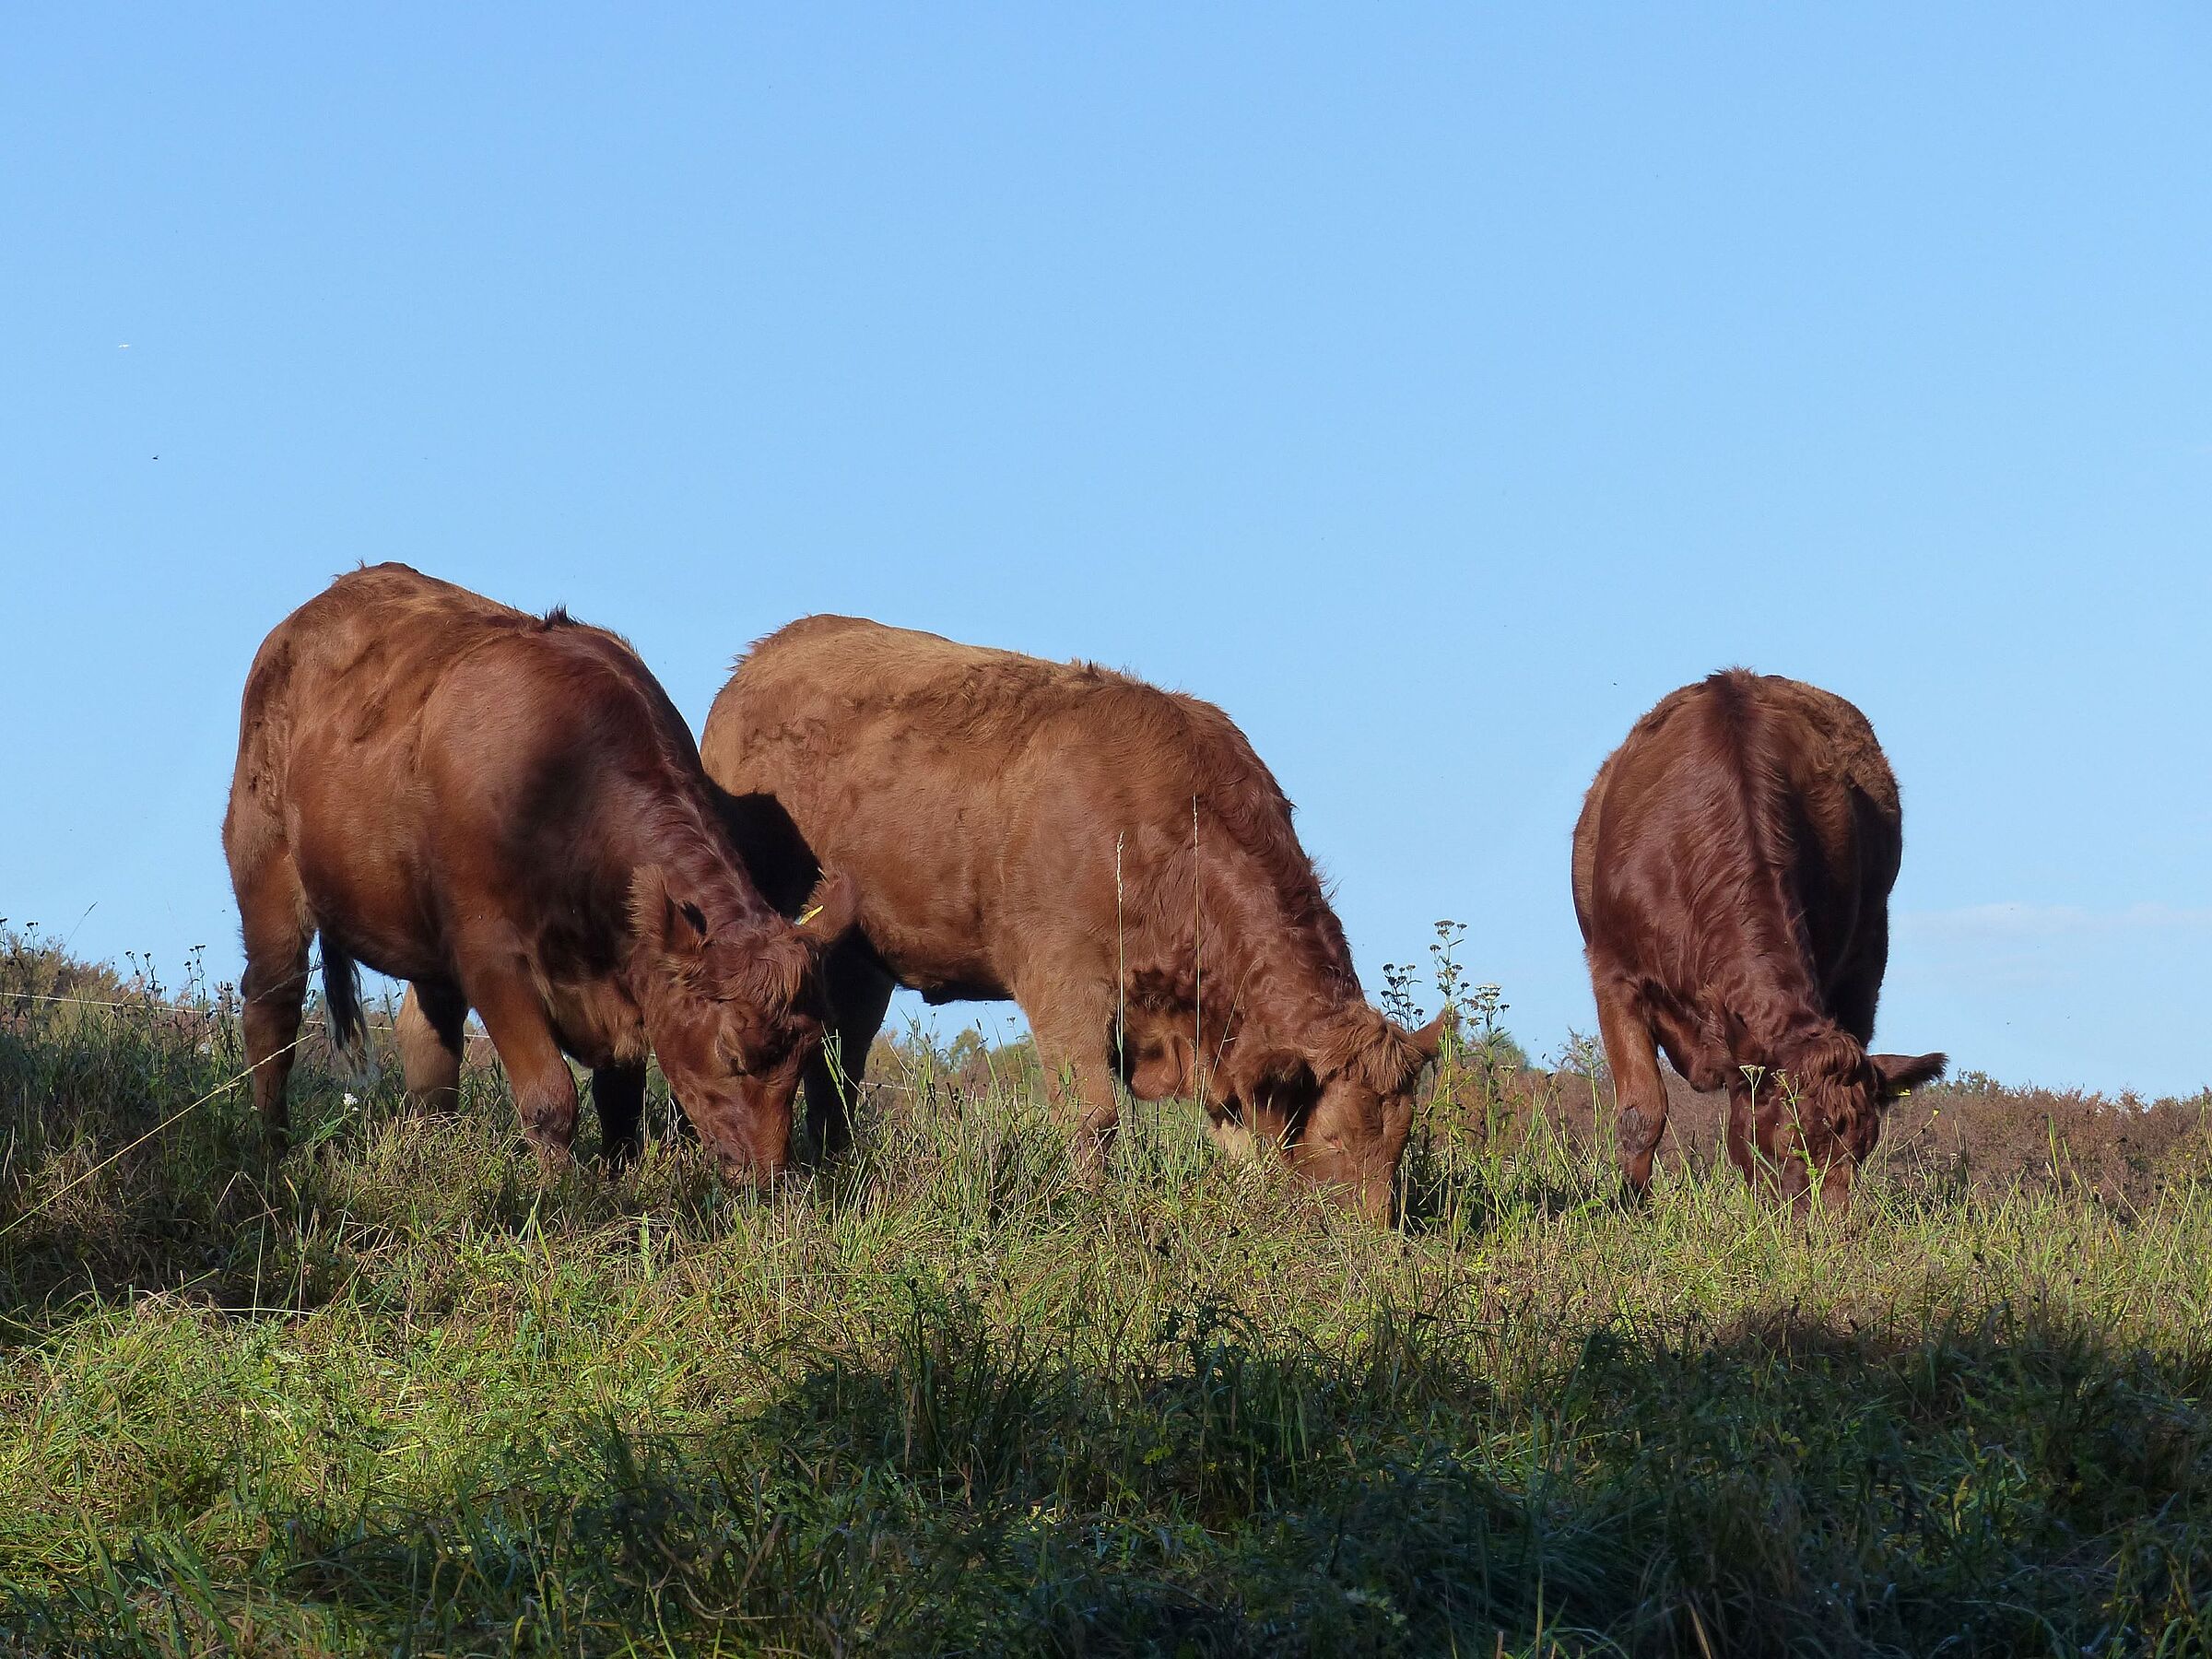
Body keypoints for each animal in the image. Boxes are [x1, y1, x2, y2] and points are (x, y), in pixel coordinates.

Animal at [219, 571, 849, 1185]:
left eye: (807, 1054)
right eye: (731, 1053)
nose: (768, 1179)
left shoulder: (624, 976)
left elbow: (619, 1100)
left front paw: (619, 1186)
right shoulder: (490, 953)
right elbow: (551, 1096)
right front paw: (561, 1197)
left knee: (429, 1042)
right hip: (266, 872)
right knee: (273, 1007)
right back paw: (272, 1153)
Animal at [703, 619, 1451, 1230]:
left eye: (1401, 1141)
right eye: (1335, 1138)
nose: (1372, 1244)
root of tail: (759, 660)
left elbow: (1239, 1138)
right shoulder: (1062, 982)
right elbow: (1092, 1114)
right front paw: (1089, 1211)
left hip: (857, 958)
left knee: (841, 1066)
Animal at [1574, 667, 1937, 1212]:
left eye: (1864, 1147)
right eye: (1790, 1142)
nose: (1829, 1226)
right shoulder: (1614, 975)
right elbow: (1643, 1113)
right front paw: (1630, 1207)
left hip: (1870, 952)